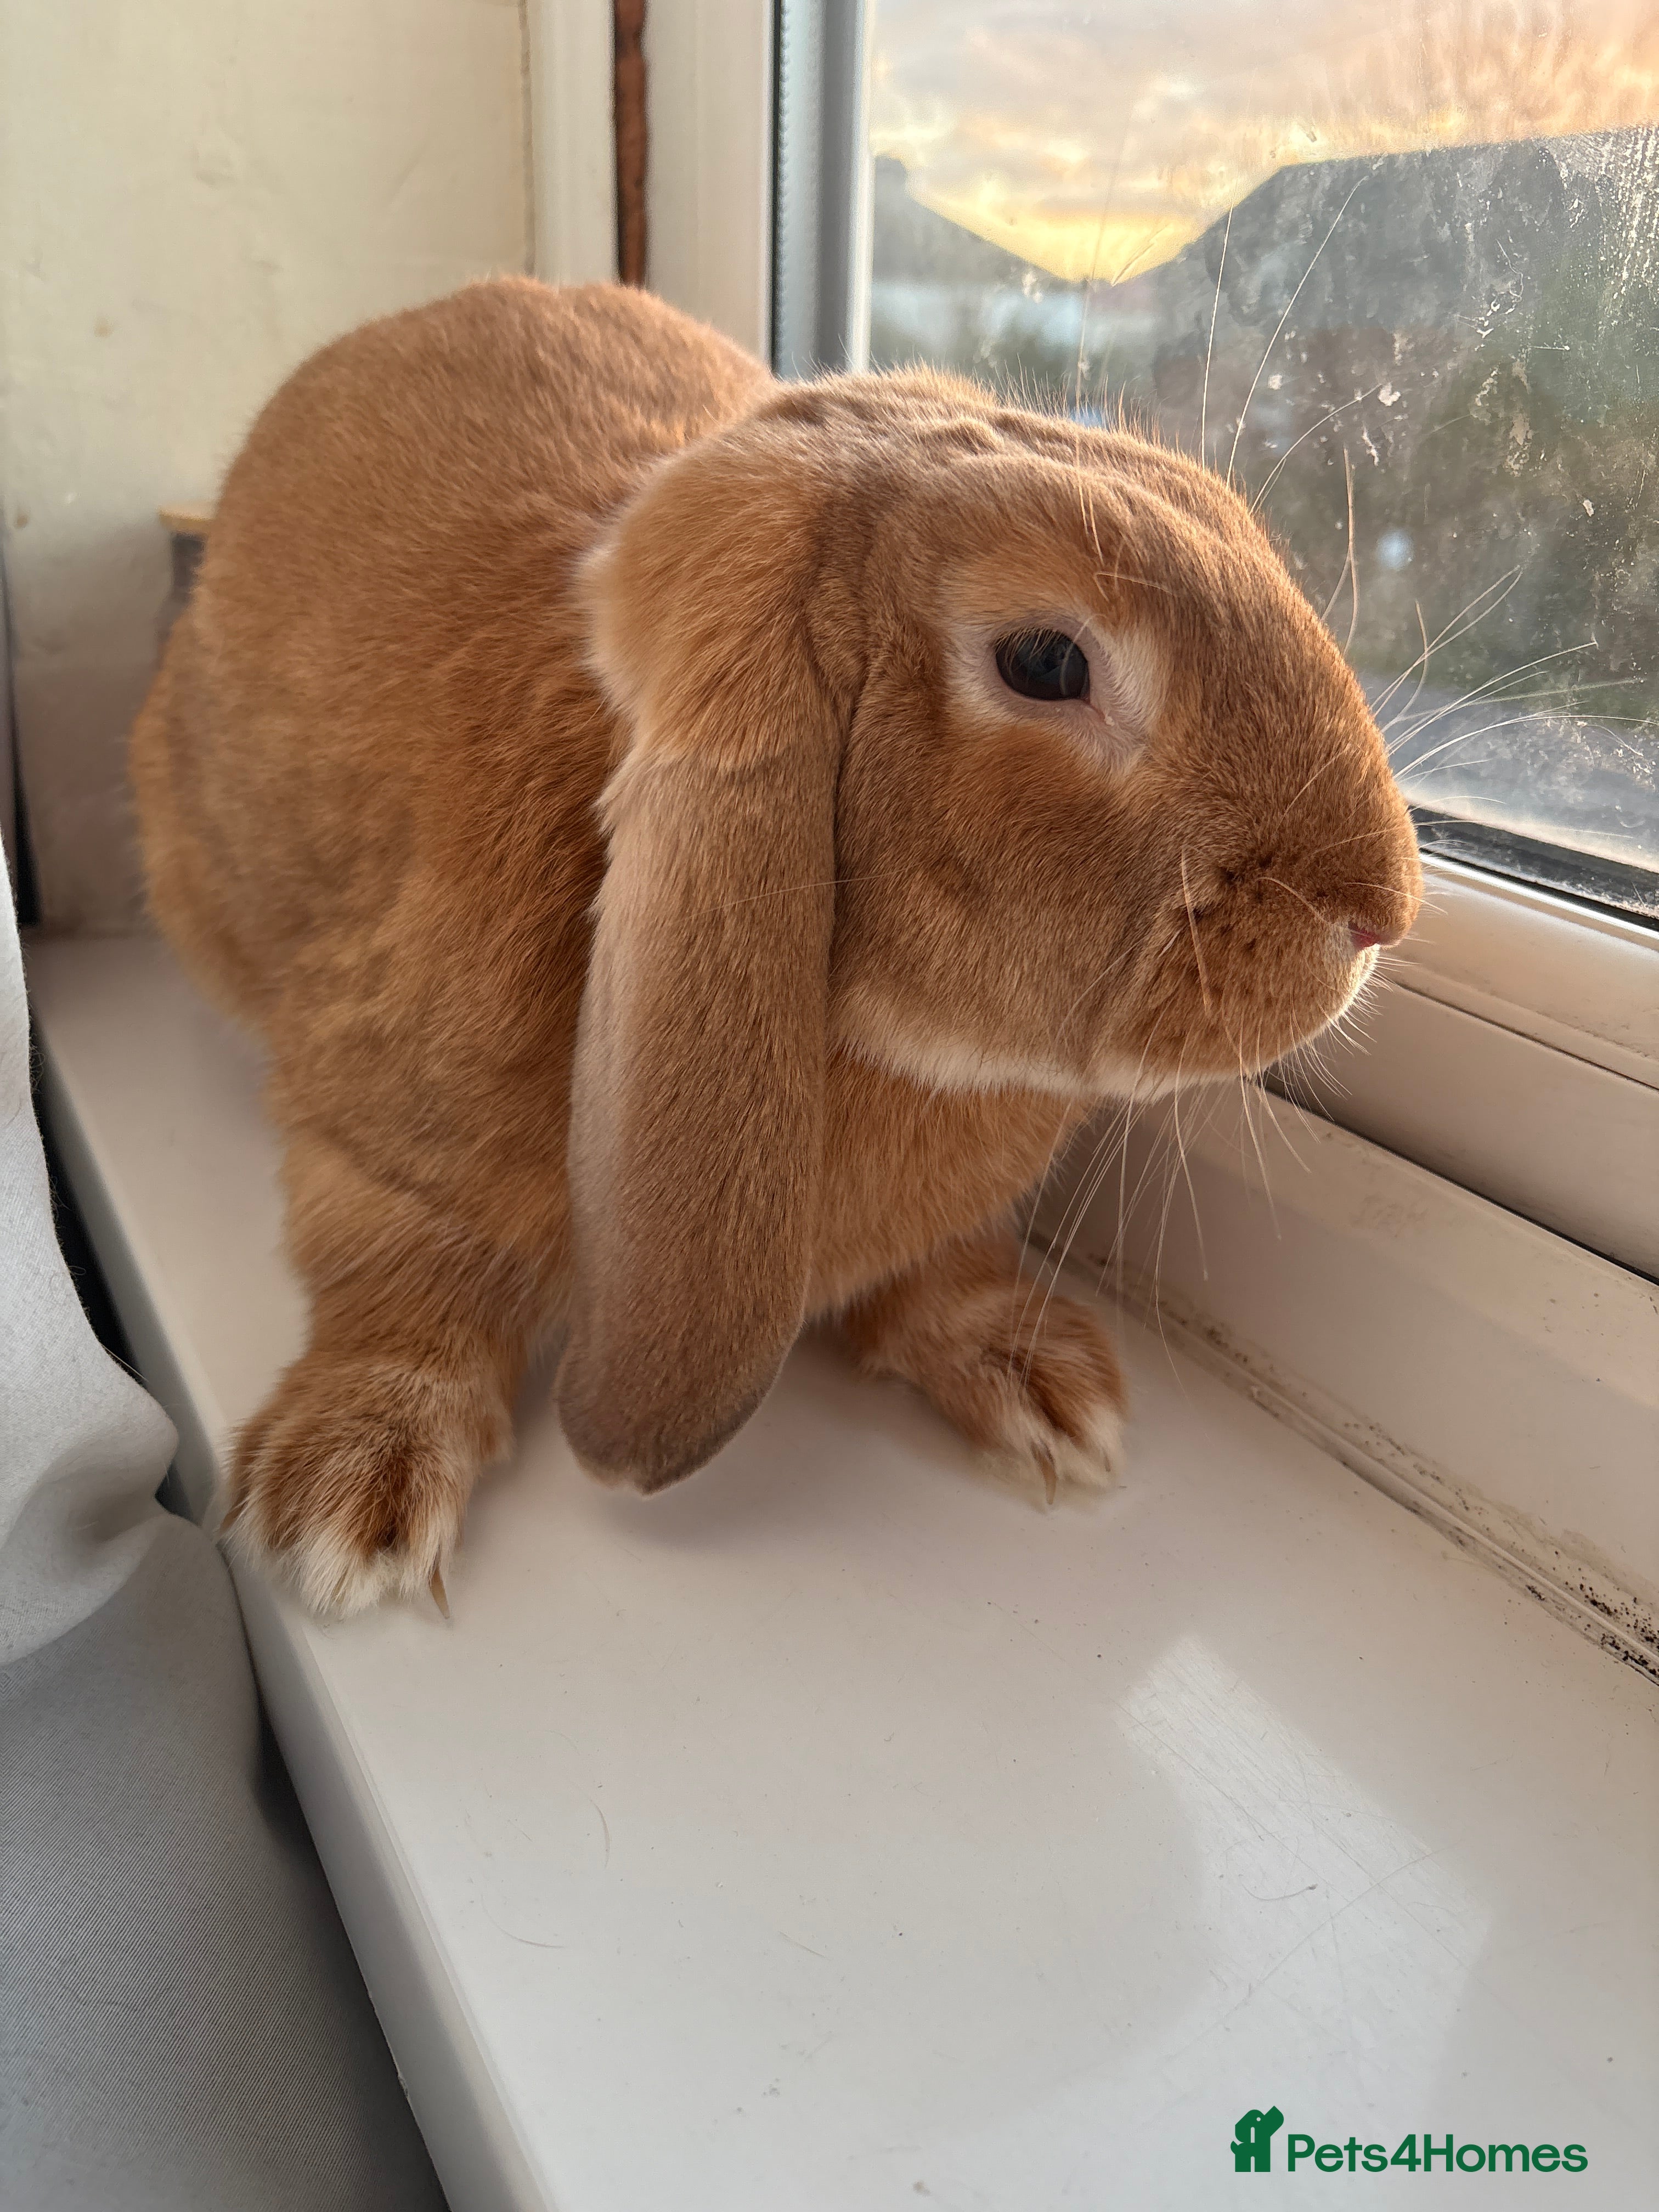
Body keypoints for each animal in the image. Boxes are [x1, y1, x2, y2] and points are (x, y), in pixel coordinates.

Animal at [131, 276, 1422, 1616]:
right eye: (1045, 661)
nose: (1381, 911)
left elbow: (948, 1270)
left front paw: (1042, 1383)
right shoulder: (381, 1132)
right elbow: (401, 1274)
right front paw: (347, 1496)